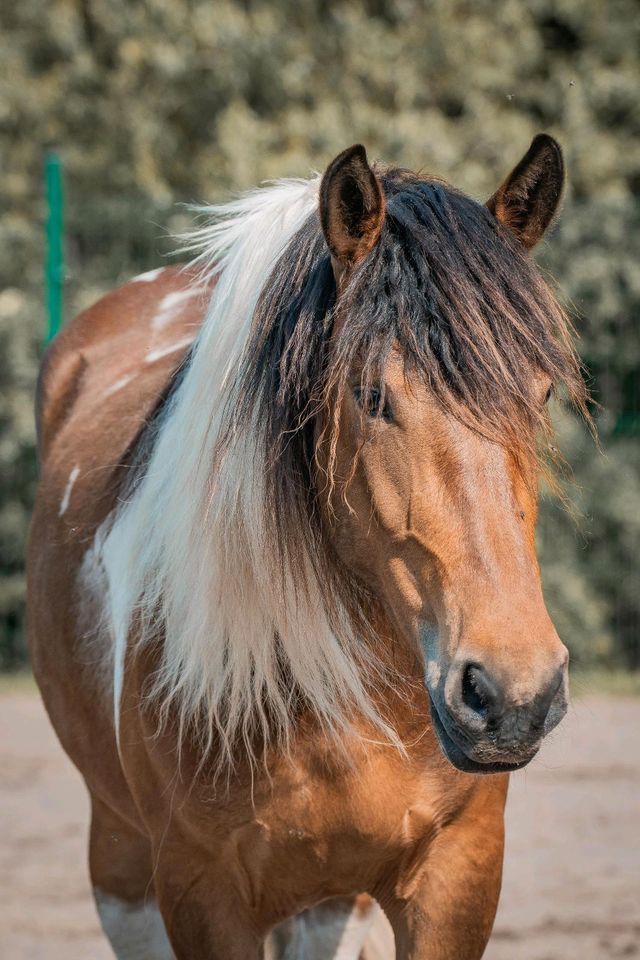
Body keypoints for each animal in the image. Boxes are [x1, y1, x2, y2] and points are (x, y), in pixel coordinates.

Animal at [27, 137, 588, 960]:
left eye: (542, 393)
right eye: (371, 394)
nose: (516, 695)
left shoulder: (459, 872)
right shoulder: (201, 892)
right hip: (123, 867)